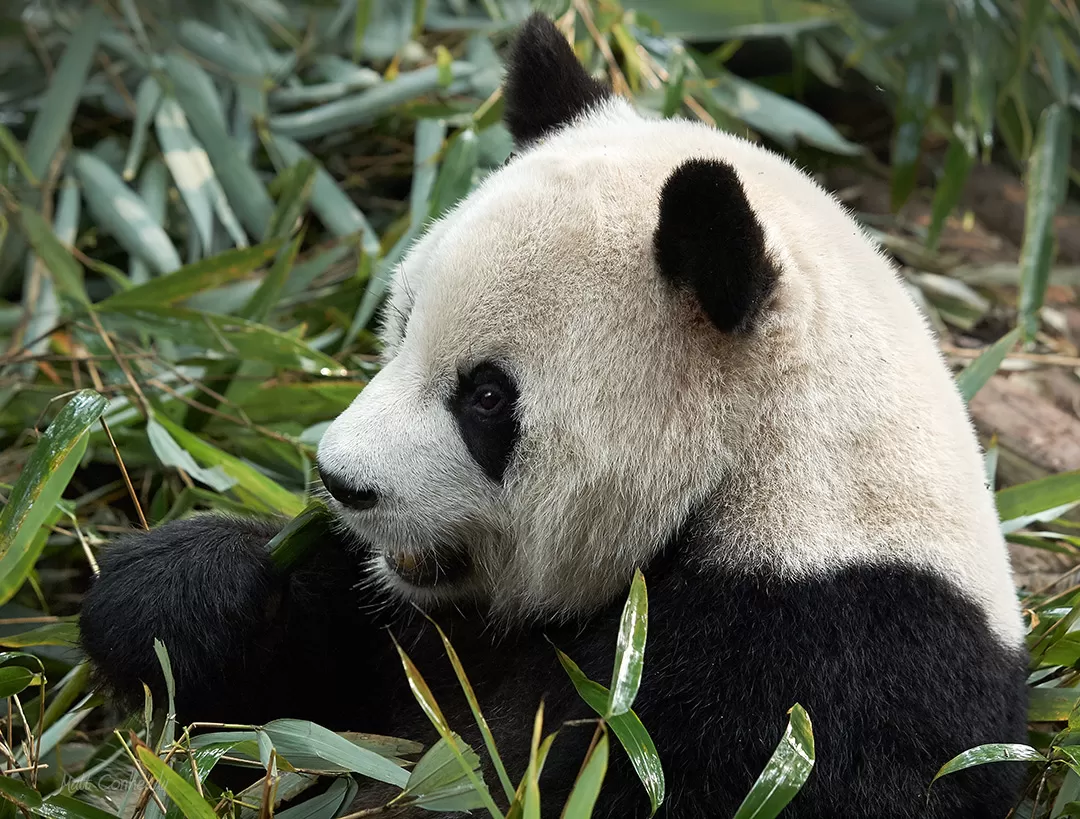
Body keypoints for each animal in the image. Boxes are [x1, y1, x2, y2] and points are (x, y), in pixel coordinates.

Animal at [82, 12, 1028, 819]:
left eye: (487, 397)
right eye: (400, 323)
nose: (342, 482)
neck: (771, 477)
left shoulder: (821, 665)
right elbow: (349, 699)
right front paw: (194, 587)